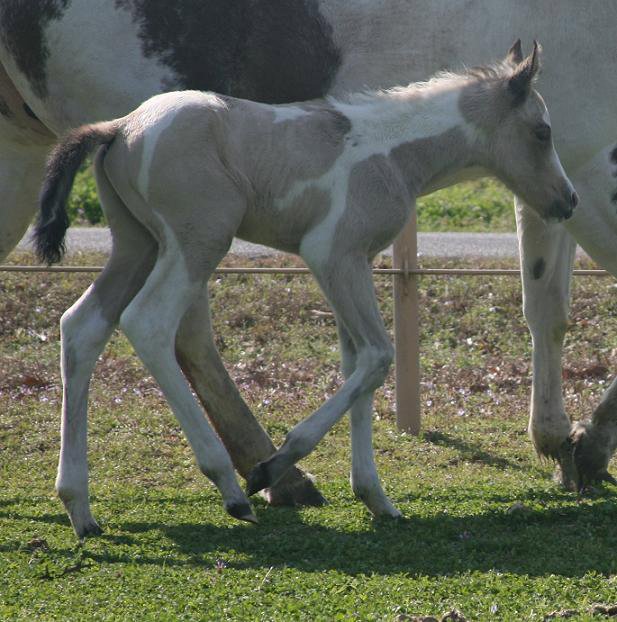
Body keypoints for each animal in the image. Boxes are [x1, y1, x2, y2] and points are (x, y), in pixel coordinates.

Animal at [1, 1, 616, 498]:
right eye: (543, 131)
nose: (566, 200)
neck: (390, 148)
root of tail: (120, 127)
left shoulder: (354, 265)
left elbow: (359, 365)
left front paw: (375, 496)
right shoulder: (331, 256)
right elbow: (378, 356)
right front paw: (282, 463)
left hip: (135, 243)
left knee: (84, 325)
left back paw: (80, 504)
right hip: (195, 244)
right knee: (155, 326)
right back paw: (240, 482)